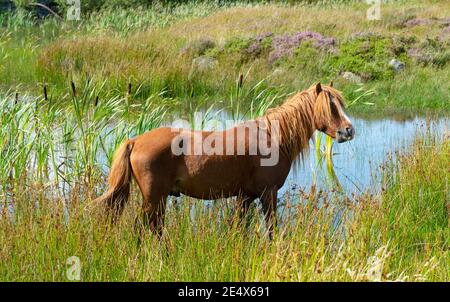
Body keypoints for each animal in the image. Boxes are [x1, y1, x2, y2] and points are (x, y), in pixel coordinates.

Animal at [93, 81, 356, 237]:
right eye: (330, 107)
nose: (348, 130)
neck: (272, 137)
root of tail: (135, 140)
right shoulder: (268, 194)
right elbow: (271, 230)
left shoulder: (246, 197)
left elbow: (237, 229)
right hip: (153, 199)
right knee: (143, 230)